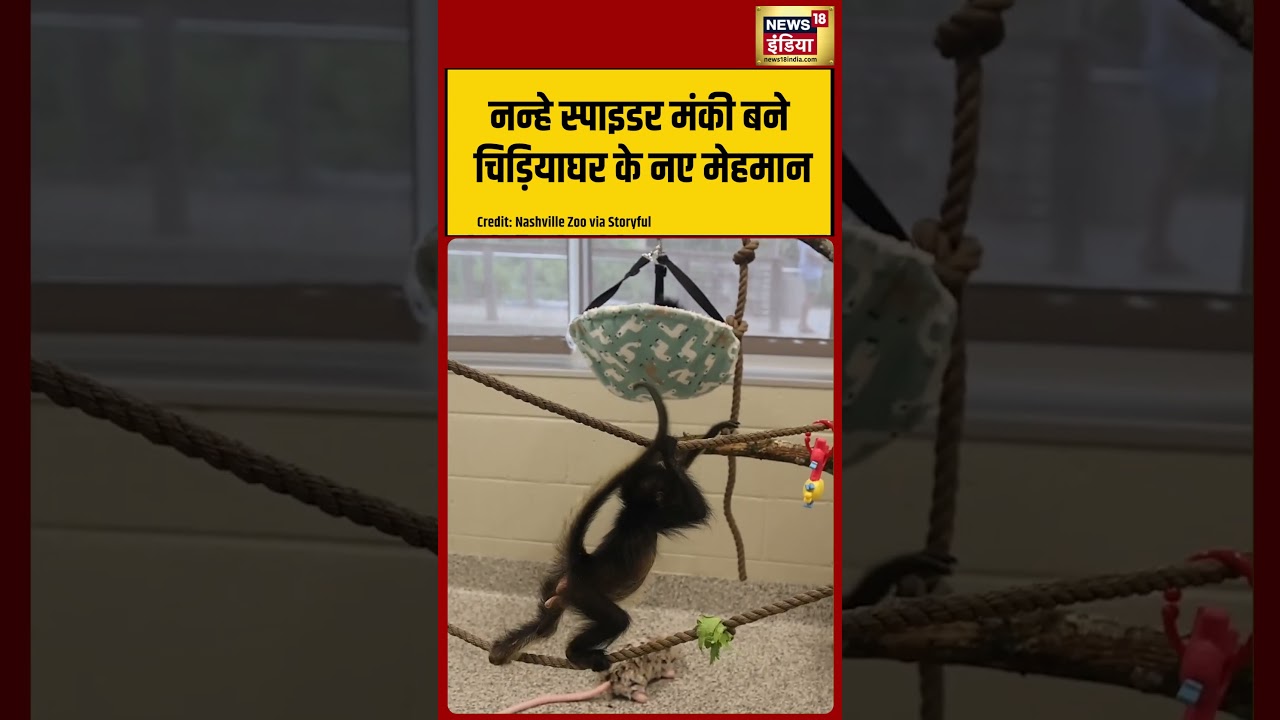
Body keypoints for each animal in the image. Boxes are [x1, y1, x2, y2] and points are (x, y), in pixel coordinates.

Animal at [488, 381, 736, 671]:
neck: (635, 511)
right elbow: (697, 512)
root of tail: (581, 563)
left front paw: (710, 433)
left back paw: (509, 647)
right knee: (615, 620)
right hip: (585, 594)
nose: (665, 490)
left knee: (544, 626)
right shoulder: (655, 518)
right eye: (663, 488)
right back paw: (575, 653)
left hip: (555, 589)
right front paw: (669, 452)